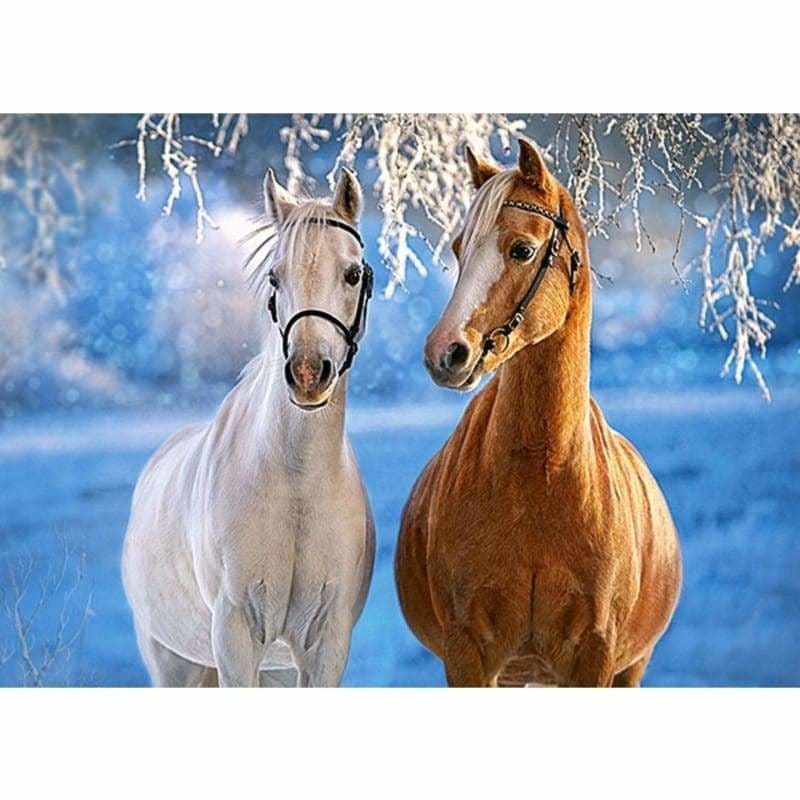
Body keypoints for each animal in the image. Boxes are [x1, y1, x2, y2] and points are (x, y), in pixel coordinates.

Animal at [122, 168, 376, 687]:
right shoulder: (236, 637)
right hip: (173, 663)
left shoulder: (325, 645)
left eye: (353, 273)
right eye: (276, 276)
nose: (307, 373)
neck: (296, 484)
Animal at [395, 138, 682, 687]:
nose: (445, 353)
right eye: (459, 249)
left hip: (630, 668)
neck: (540, 475)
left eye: (522, 250)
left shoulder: (594, 658)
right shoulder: (467, 655)